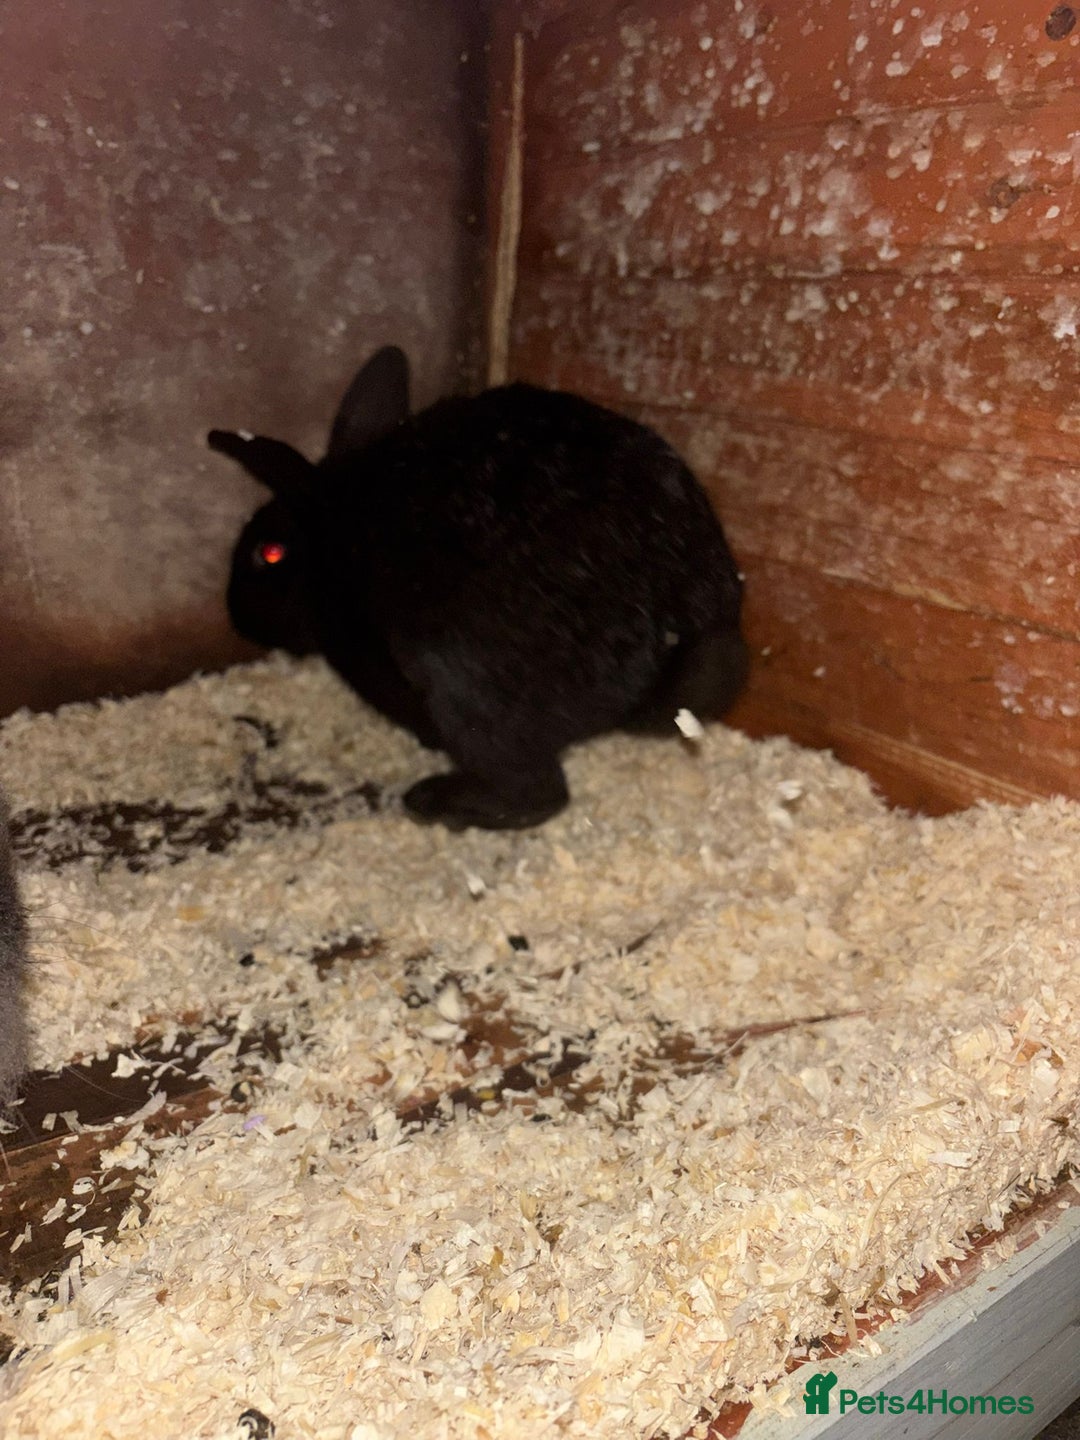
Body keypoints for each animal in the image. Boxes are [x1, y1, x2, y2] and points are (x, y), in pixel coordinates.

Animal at [209, 346, 748, 830]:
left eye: (269, 553)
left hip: (459, 685)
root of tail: (660, 640)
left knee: (539, 793)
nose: (235, 614)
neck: (333, 538)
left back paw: (432, 802)